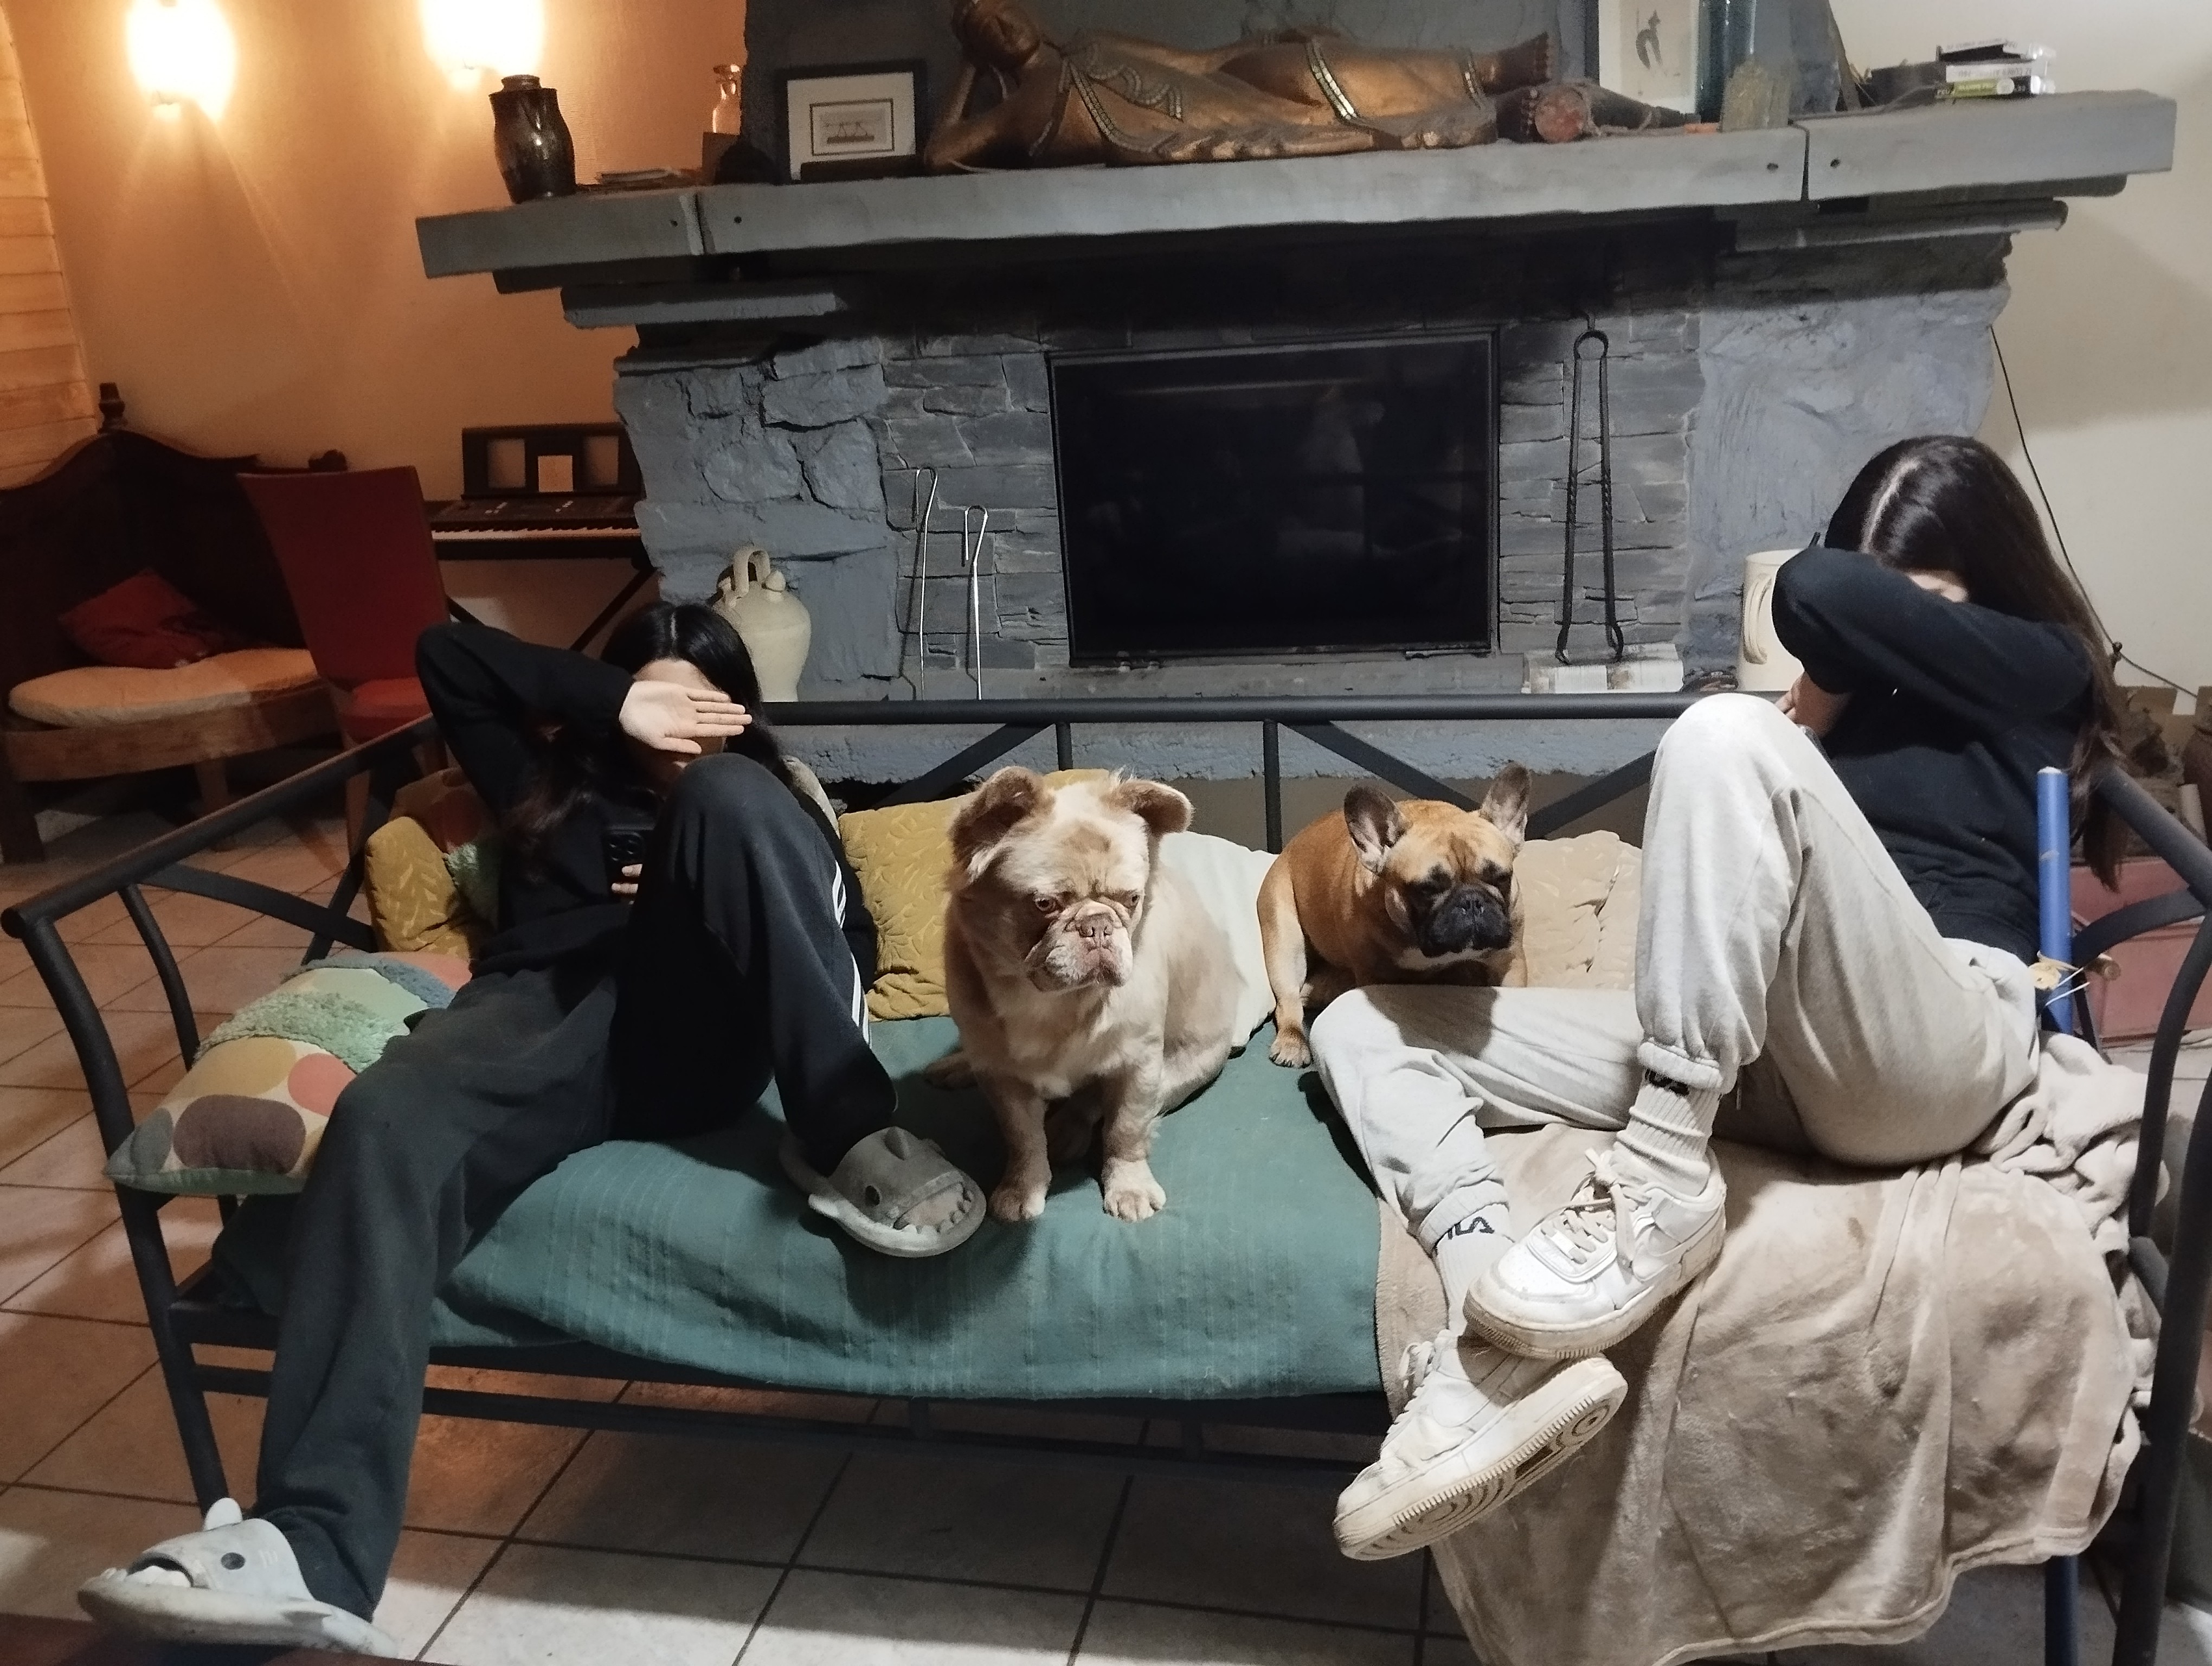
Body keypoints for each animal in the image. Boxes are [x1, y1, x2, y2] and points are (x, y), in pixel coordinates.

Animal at [930, 768, 1239, 1224]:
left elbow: (1124, 1131)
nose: (1098, 925)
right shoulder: (1003, 1079)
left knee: (1098, 1107)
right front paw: (1023, 1187)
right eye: (1044, 904)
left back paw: (1067, 1130)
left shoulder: (1139, 1066)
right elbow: (1022, 1140)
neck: (1054, 1003)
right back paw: (958, 1066)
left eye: (1132, 900)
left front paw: (1129, 1187)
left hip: (1182, 1072)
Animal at [1257, 766, 1530, 1068]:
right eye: (1426, 889)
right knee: (1288, 1000)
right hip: (1284, 942)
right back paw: (1292, 1042)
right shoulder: (1374, 974)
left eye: (1501, 878)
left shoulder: (1509, 962)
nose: (1471, 902)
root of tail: (1287, 850)